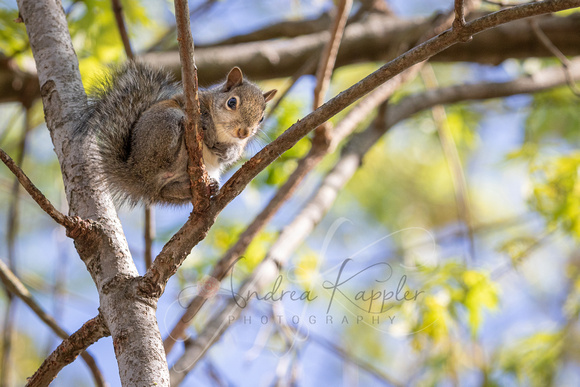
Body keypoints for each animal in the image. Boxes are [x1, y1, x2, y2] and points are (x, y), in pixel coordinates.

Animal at [76, 60, 276, 206]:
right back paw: (181, 145)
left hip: (170, 187)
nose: (244, 132)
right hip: (165, 125)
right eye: (232, 102)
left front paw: (226, 151)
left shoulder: (238, 145)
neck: (224, 132)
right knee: (168, 155)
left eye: (261, 118)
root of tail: (137, 173)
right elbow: (202, 115)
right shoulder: (192, 102)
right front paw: (208, 128)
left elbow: (230, 156)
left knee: (168, 190)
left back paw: (207, 186)